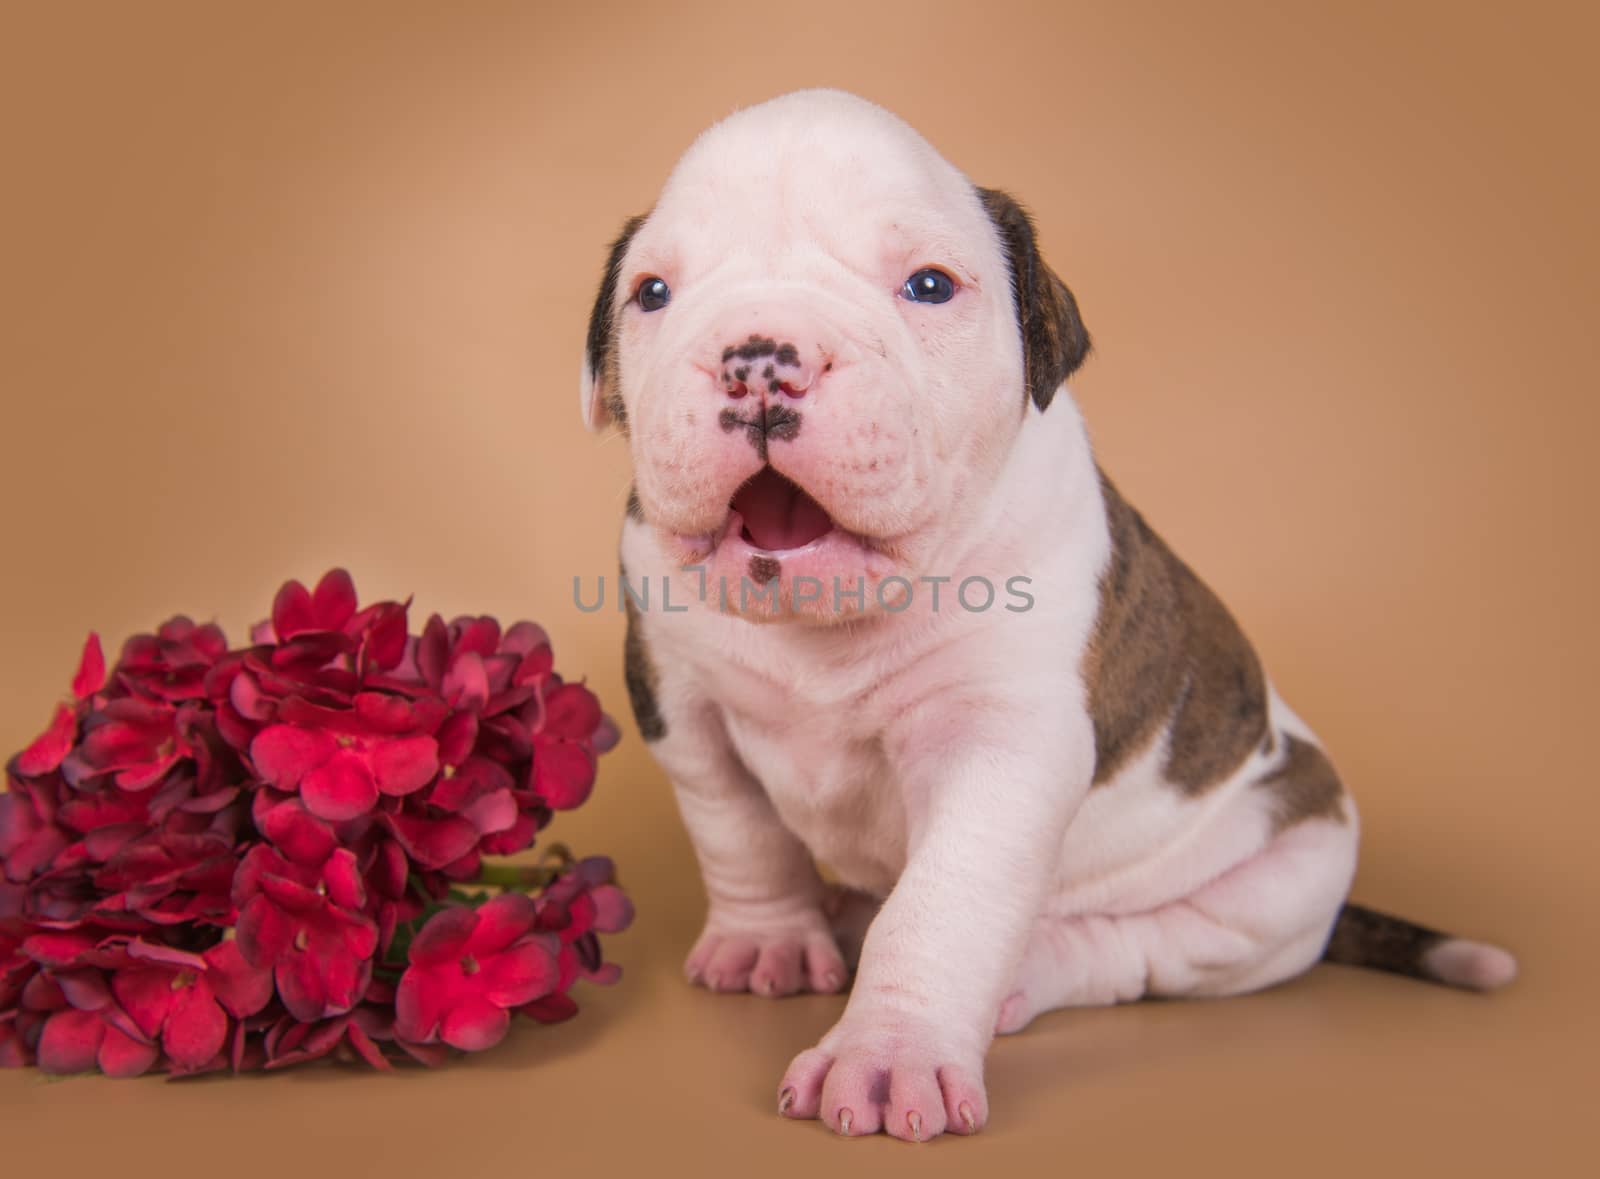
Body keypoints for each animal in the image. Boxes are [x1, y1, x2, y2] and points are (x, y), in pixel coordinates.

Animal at [576, 89, 1510, 1139]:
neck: (831, 626)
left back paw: (1030, 965)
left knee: (1142, 948)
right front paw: (765, 939)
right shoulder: (680, 701)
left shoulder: (1002, 744)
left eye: (929, 285)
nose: (761, 360)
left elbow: (941, 904)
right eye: (653, 294)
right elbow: (738, 832)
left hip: (1287, 873)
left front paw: (890, 1053)